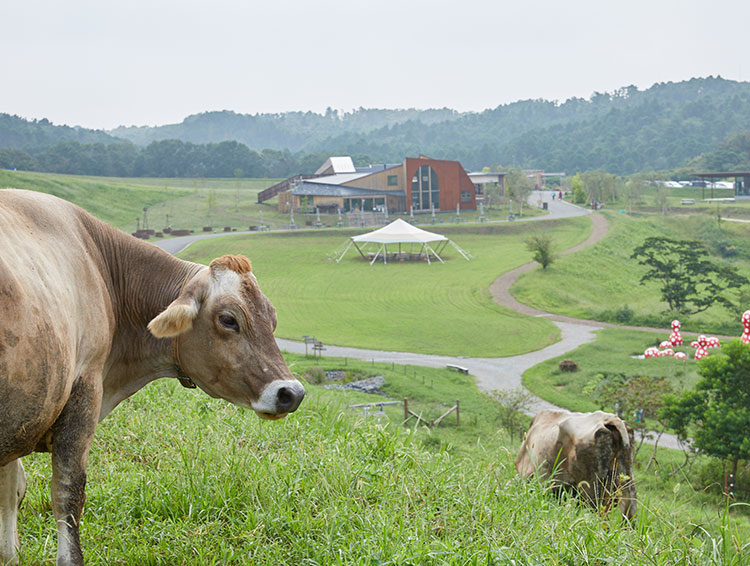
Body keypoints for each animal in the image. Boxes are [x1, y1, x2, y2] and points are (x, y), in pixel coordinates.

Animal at [0, 191, 306, 566]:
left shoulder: (21, 420)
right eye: (229, 319)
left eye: (272, 318)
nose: (291, 393)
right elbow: (67, 497)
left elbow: (11, 491)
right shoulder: (83, 395)